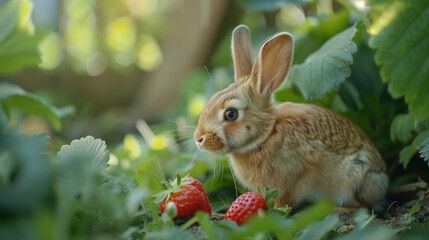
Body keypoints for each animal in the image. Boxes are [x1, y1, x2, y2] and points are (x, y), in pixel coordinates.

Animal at [194, 24, 388, 210]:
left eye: (231, 114)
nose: (198, 139)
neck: (266, 135)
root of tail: (383, 178)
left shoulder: (290, 180)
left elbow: (285, 200)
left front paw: (275, 211)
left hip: (356, 176)